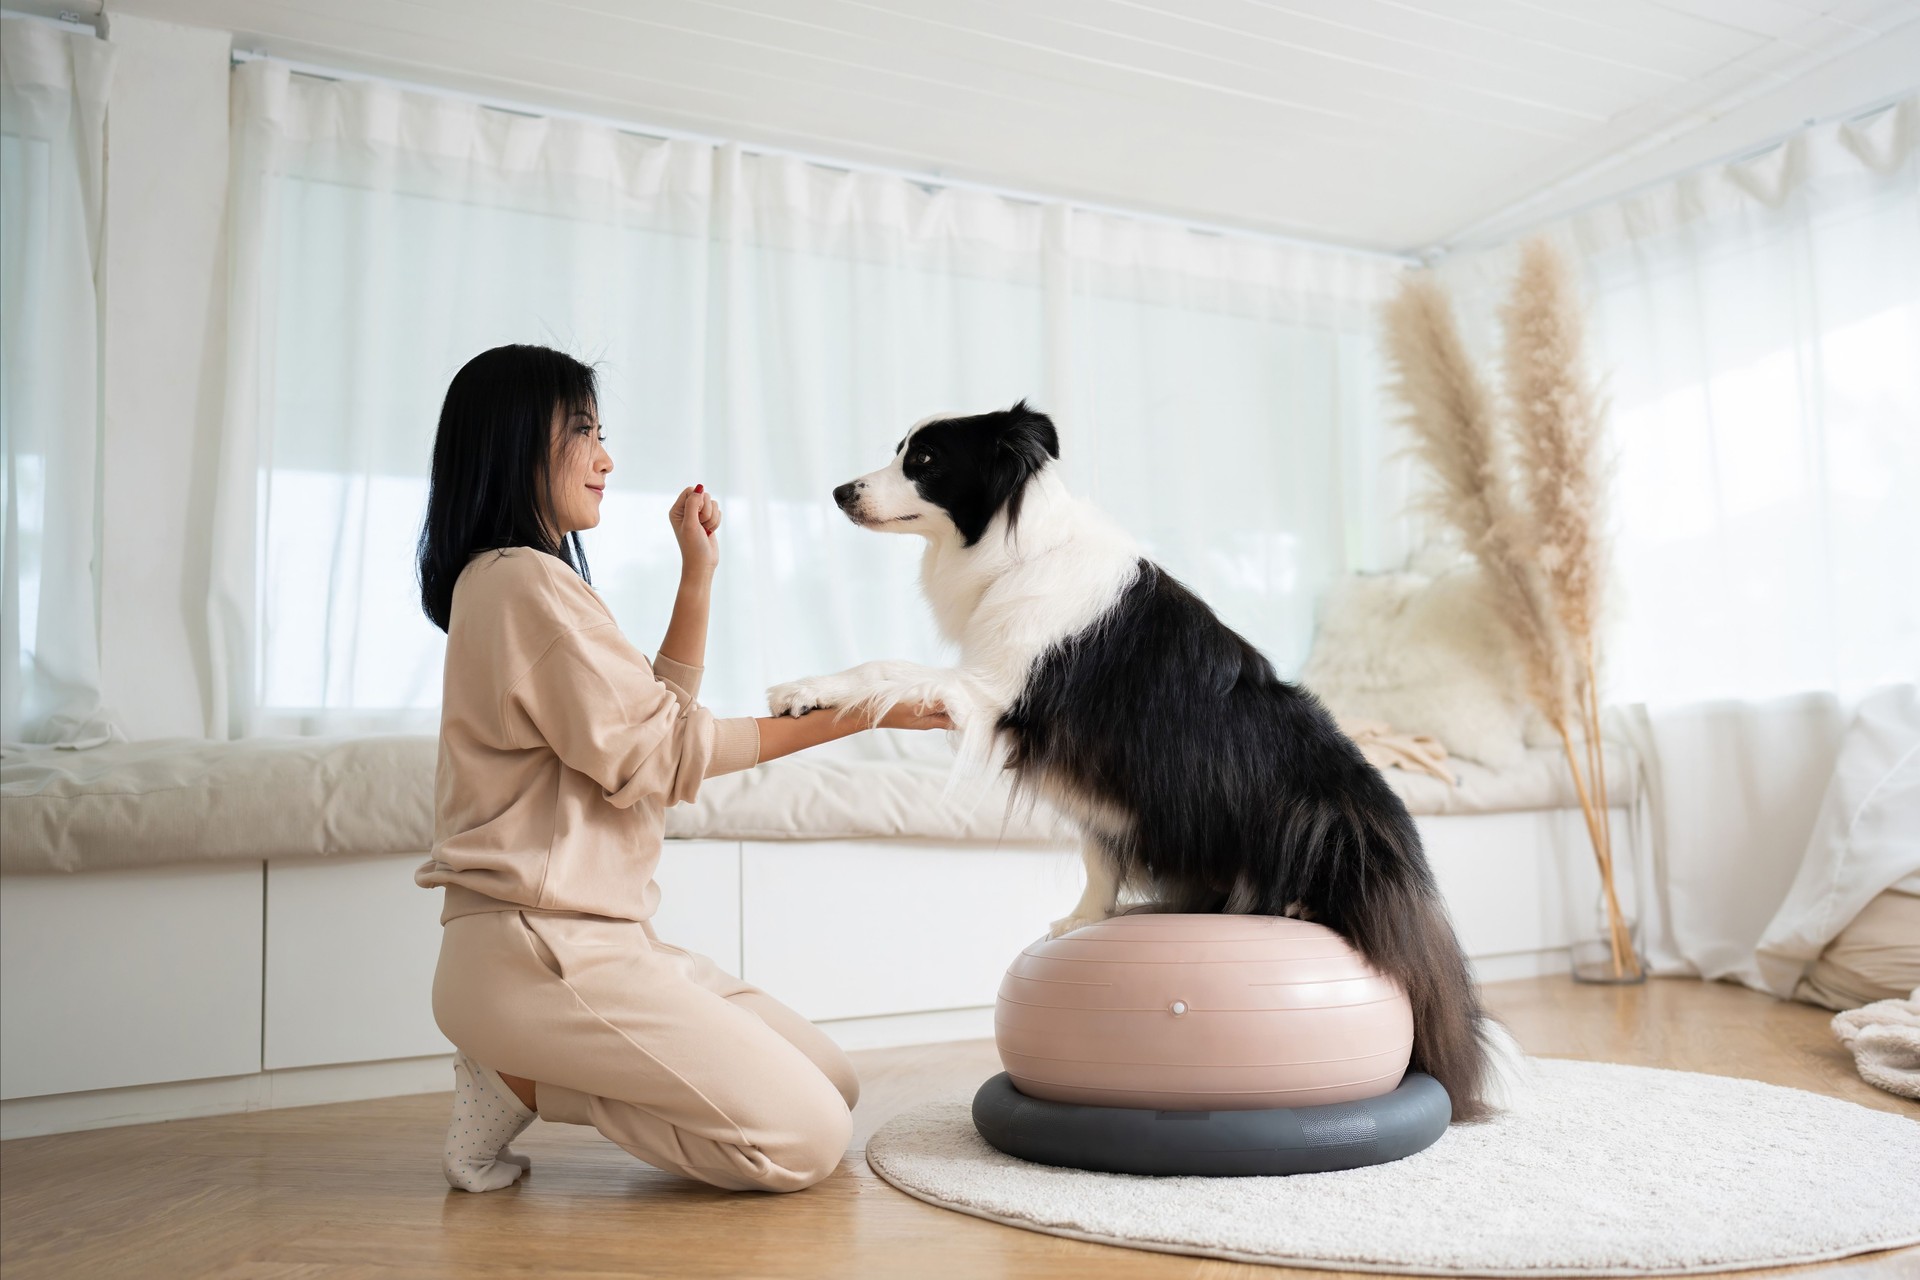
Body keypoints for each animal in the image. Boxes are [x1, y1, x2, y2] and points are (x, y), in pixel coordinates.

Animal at [771, 401, 1520, 1120]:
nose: (839, 492)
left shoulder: (989, 689)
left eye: (924, 461)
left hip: (1318, 819)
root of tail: (1397, 846)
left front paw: (803, 689)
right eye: (900, 451)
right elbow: (1098, 852)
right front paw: (1084, 919)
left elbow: (881, 667)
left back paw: (1298, 904)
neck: (1019, 548)